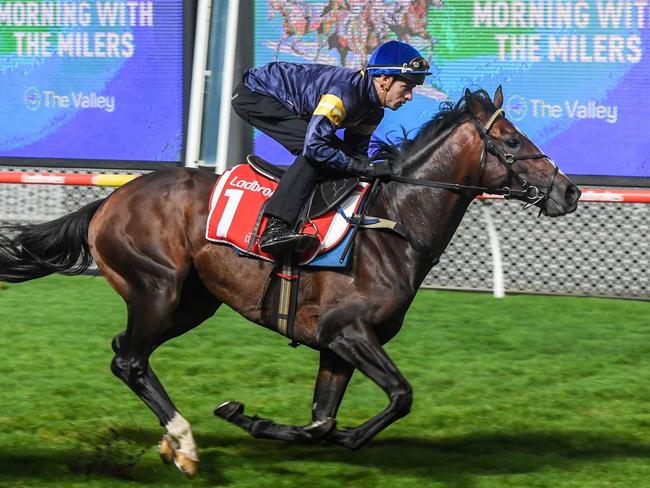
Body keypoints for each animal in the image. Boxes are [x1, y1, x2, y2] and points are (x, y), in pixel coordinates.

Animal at [0, 87, 576, 476]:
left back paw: (171, 442)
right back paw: (185, 444)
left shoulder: (337, 346)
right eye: (511, 140)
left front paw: (254, 420)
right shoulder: (348, 332)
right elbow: (400, 396)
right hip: (158, 288)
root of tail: (109, 200)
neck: (391, 224)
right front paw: (258, 420)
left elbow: (323, 422)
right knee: (130, 359)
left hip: (192, 302)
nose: (569, 191)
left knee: (128, 352)